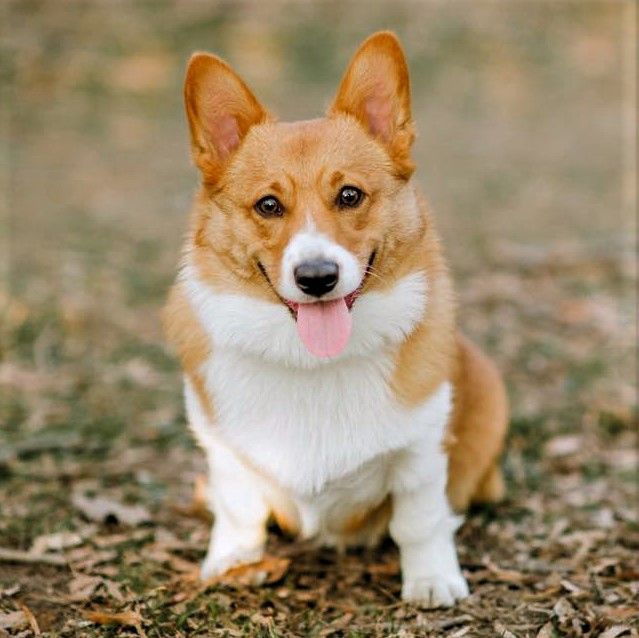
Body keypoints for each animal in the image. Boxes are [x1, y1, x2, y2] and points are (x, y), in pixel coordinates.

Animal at [166, 31, 510, 608]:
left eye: (349, 195)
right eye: (268, 205)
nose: (317, 277)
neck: (312, 363)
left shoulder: (421, 449)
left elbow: (420, 520)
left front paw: (431, 579)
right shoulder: (225, 452)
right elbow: (238, 509)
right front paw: (234, 562)